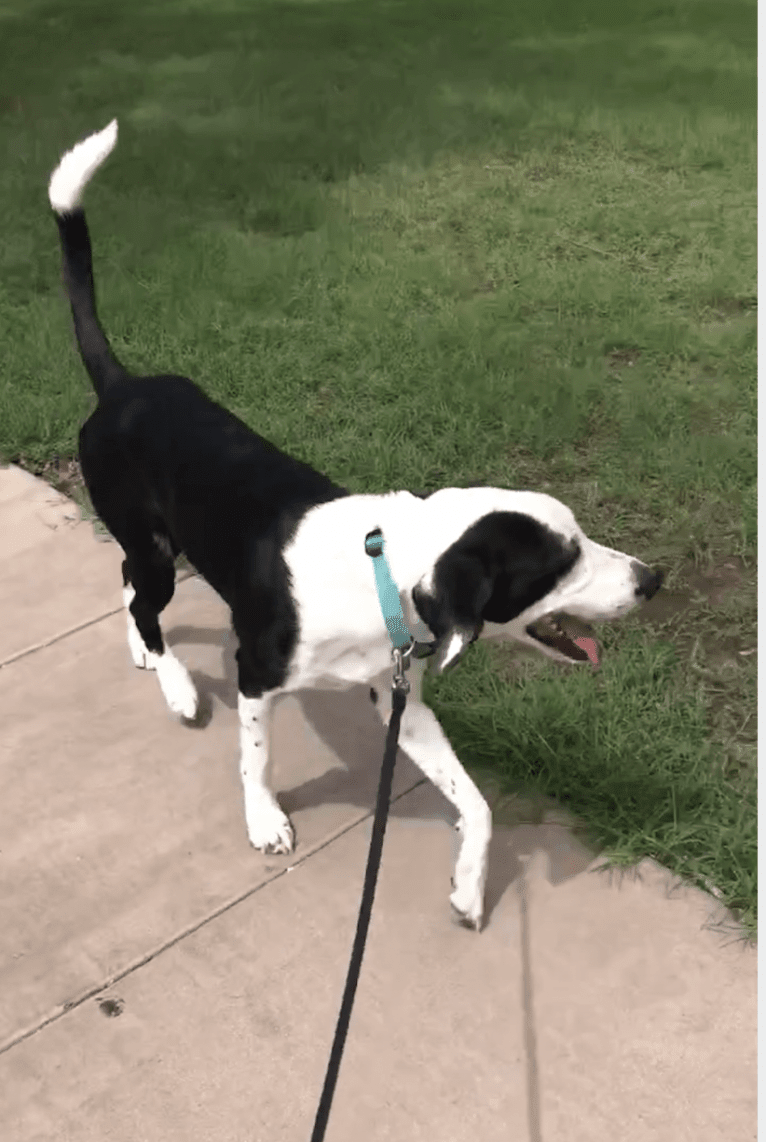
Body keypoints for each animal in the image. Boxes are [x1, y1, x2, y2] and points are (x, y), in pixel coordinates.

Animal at [47, 122, 662, 927]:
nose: (653, 579)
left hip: (156, 548)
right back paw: (176, 685)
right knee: (144, 596)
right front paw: (265, 821)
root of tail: (121, 386)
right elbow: (256, 758)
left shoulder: (399, 697)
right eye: (560, 562)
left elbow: (477, 804)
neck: (382, 578)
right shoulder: (257, 673)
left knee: (127, 584)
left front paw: (469, 886)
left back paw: (149, 658)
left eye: (582, 537)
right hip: (155, 549)